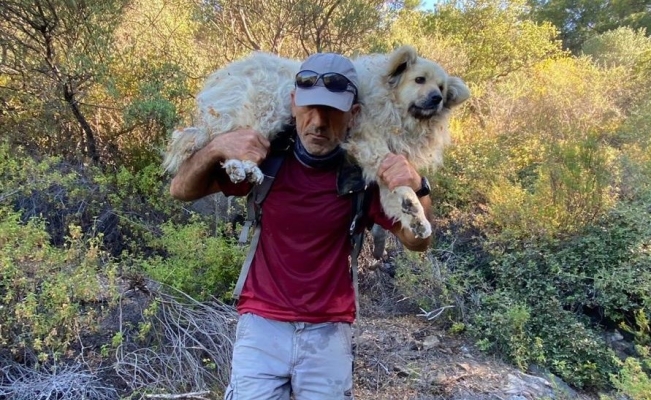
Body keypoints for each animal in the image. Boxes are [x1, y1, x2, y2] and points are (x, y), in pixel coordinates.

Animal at [162, 44, 468, 238]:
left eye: (441, 88)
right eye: (419, 80)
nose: (437, 99)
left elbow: (393, 190)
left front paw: (414, 217)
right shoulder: (367, 140)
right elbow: (394, 177)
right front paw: (411, 206)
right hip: (266, 109)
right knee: (229, 143)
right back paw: (243, 168)